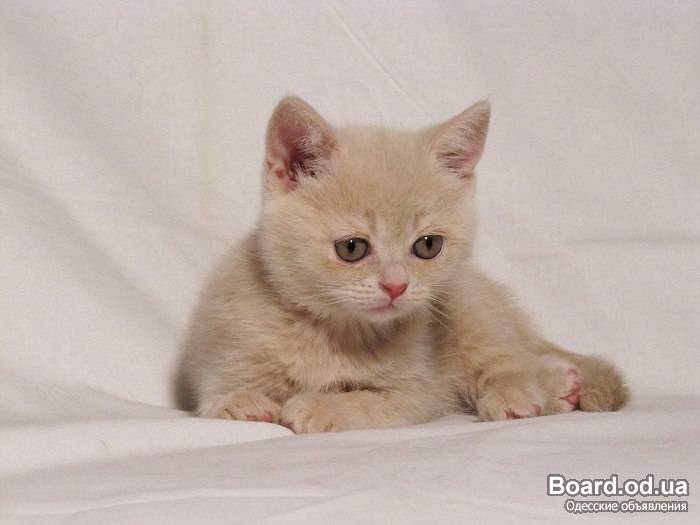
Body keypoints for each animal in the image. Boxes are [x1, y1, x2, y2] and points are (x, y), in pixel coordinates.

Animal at [179, 95, 628, 433]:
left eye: (428, 245)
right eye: (352, 248)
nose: (396, 286)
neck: (333, 333)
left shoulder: (418, 392)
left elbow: (371, 402)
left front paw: (320, 406)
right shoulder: (222, 353)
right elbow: (220, 395)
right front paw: (245, 402)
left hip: (466, 305)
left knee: (507, 358)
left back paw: (538, 389)